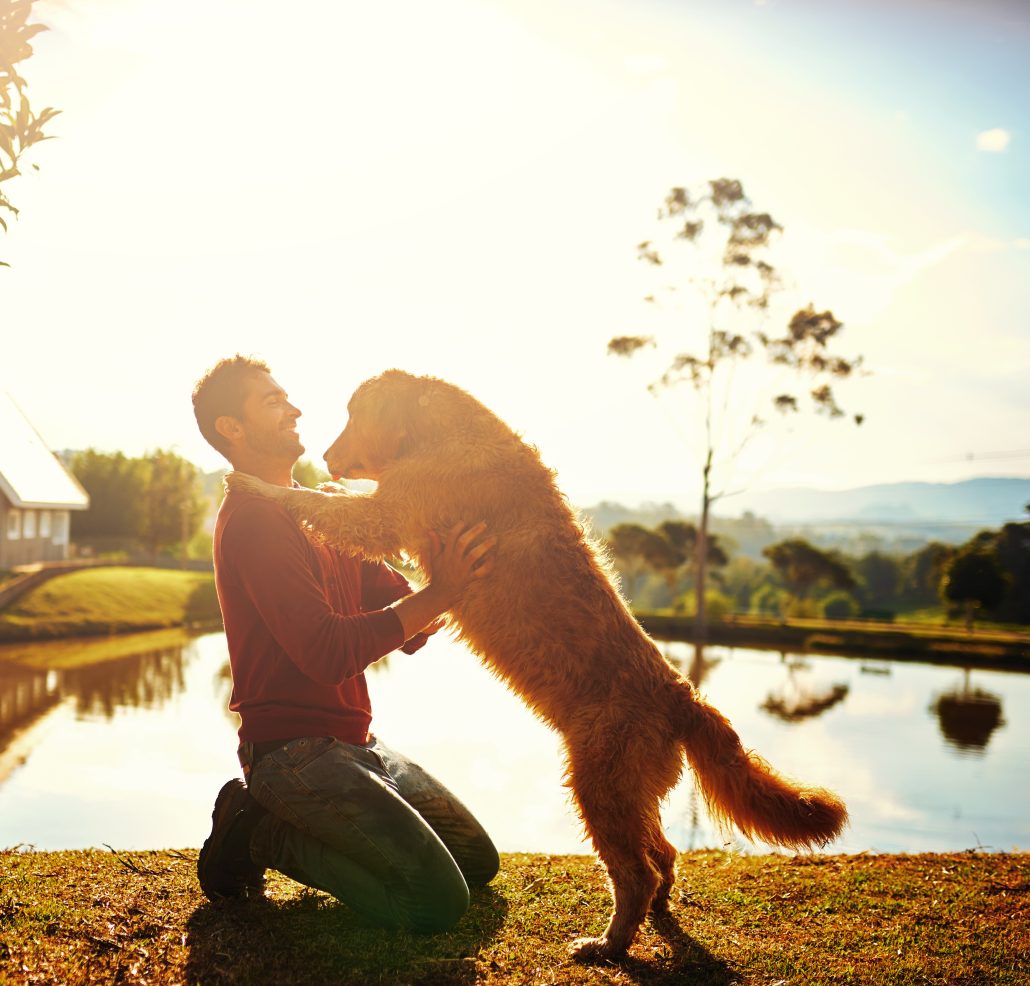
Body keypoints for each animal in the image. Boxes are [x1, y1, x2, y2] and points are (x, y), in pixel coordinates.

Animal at [225, 368, 844, 960]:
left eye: (356, 413)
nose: (326, 454)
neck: (442, 433)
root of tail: (681, 693)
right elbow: (329, 503)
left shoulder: (386, 513)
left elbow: (318, 506)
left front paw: (257, 485)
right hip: (631, 793)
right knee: (665, 854)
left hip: (601, 787)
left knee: (637, 873)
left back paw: (609, 945)